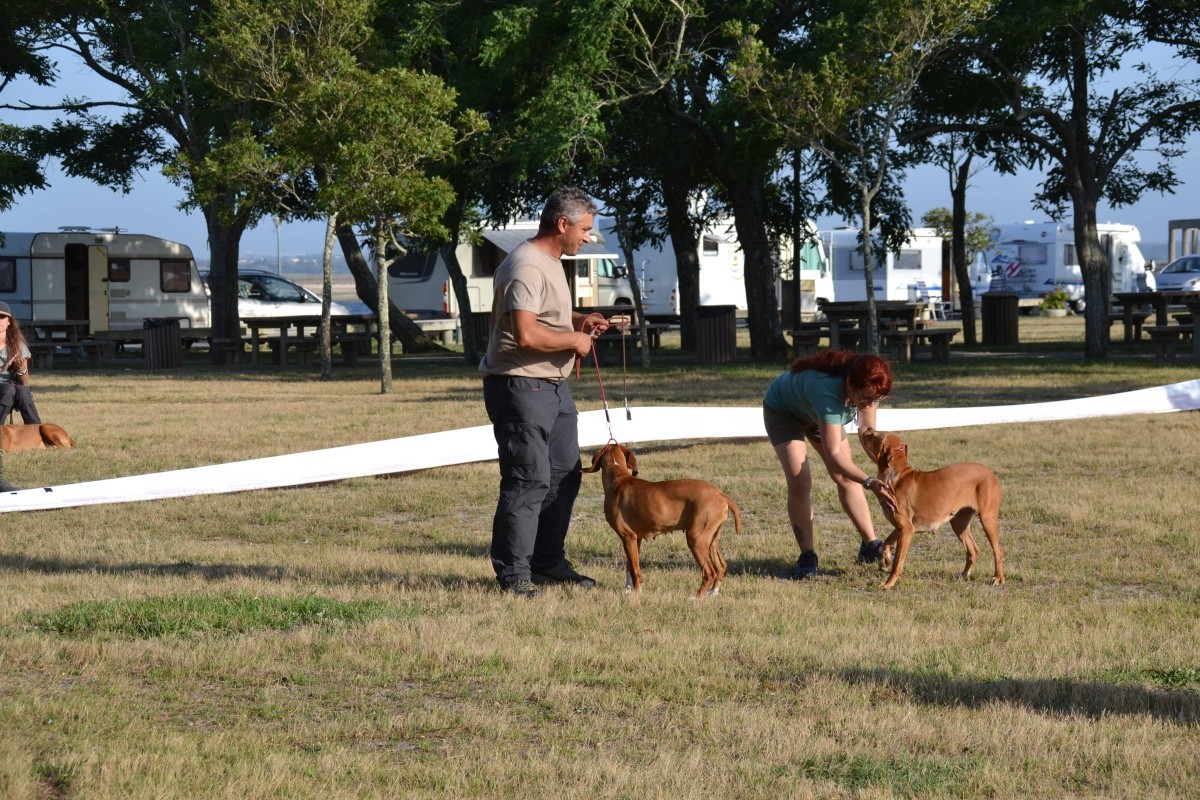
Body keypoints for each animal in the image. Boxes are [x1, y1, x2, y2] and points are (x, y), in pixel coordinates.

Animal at [583, 442, 741, 597]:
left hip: (696, 540)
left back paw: (696, 598)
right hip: (711, 540)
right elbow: (631, 566)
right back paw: (713, 592)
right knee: (721, 566)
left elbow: (635, 570)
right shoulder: (635, 539)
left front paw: (637, 594)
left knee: (709, 573)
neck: (618, 477)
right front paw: (628, 590)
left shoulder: (627, 536)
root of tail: (721, 495)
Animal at [861, 428, 1003, 590]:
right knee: (973, 550)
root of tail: (991, 473)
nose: (868, 428)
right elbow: (887, 542)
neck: (896, 477)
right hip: (959, 522)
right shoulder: (902, 528)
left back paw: (999, 578)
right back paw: (964, 575)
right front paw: (884, 562)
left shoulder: (906, 529)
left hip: (987, 519)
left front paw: (888, 583)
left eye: (877, 435)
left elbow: (897, 564)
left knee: (997, 550)